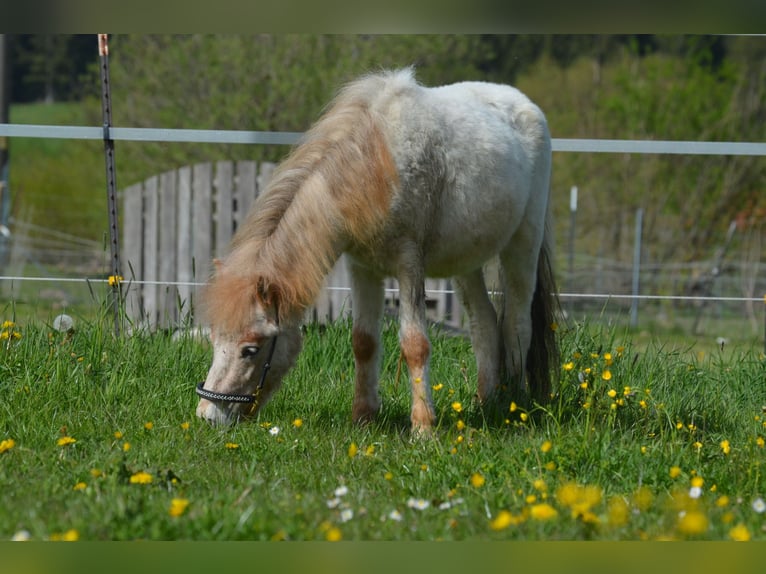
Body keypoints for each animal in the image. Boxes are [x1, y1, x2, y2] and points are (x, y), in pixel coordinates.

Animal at [196, 67, 560, 434]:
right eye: (213, 339)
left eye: (251, 349)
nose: (207, 416)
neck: (374, 164)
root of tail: (524, 104)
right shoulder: (363, 269)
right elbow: (363, 342)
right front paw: (363, 417)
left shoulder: (409, 265)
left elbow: (415, 345)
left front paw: (423, 428)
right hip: (465, 262)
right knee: (484, 324)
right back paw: (485, 404)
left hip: (522, 246)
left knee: (517, 324)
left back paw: (513, 408)